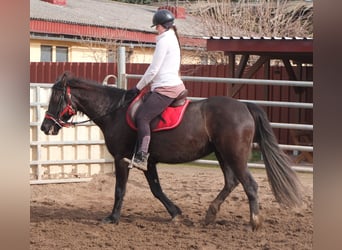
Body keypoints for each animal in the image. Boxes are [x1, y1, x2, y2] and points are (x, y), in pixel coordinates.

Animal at [39, 72, 302, 230]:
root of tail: (244, 107)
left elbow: (120, 190)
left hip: (234, 155)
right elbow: (156, 190)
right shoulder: (148, 162)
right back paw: (210, 215)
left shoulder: (122, 159)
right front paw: (176, 213)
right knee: (231, 182)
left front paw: (112, 218)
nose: (45, 127)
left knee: (250, 185)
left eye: (56, 97)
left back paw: (254, 222)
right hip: (222, 154)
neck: (114, 111)